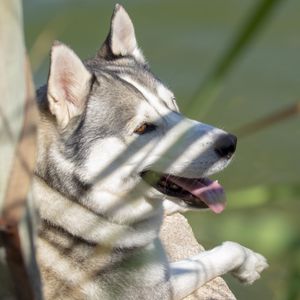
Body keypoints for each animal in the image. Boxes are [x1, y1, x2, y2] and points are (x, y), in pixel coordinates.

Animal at [32, 4, 268, 300]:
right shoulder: (154, 288)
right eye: (143, 128)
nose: (229, 143)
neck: (66, 196)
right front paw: (248, 263)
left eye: (172, 104)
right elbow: (212, 257)